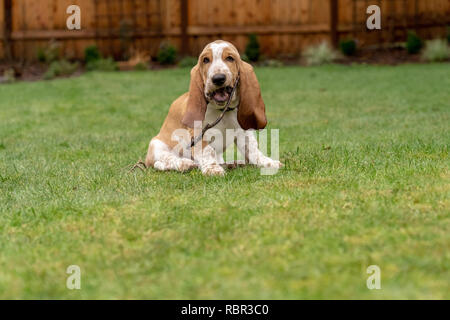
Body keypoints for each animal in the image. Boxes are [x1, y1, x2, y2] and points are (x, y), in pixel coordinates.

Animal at [146, 39, 282, 178]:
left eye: (230, 58)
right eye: (205, 60)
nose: (218, 78)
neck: (223, 111)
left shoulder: (243, 132)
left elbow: (253, 149)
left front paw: (268, 162)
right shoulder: (198, 134)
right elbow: (207, 151)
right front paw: (212, 169)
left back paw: (234, 163)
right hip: (156, 145)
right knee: (162, 162)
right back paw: (186, 164)